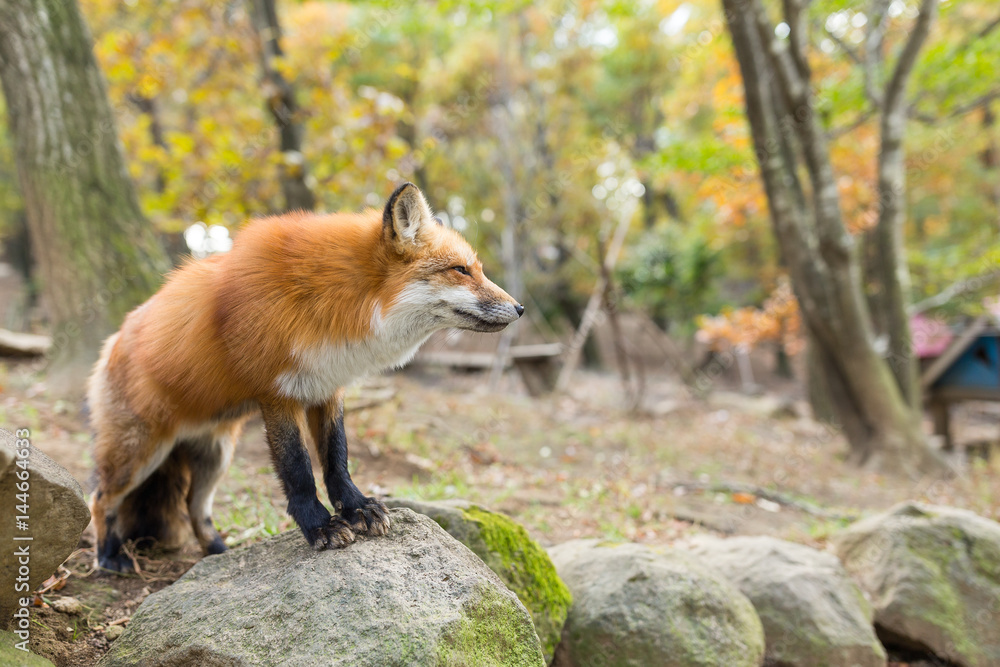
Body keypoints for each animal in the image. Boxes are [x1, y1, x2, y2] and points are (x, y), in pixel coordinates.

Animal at [87, 182, 523, 572]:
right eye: (460, 270)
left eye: (477, 269)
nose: (519, 308)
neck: (330, 302)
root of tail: (112, 342)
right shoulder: (278, 395)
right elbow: (297, 470)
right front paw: (319, 527)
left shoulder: (327, 386)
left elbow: (336, 458)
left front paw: (358, 508)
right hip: (139, 454)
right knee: (101, 499)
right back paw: (109, 556)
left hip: (216, 456)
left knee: (195, 507)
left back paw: (217, 551)